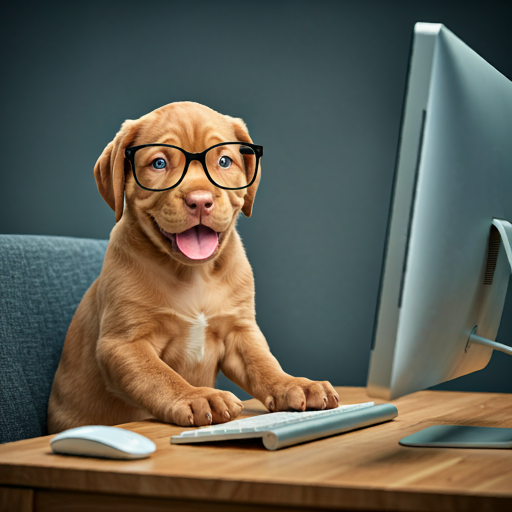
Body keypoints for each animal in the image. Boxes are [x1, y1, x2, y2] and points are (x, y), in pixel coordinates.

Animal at [46, 101, 338, 432]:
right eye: (159, 163)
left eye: (224, 161)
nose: (200, 200)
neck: (194, 273)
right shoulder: (123, 344)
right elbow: (161, 376)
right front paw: (197, 396)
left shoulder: (240, 331)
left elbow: (263, 363)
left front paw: (294, 383)